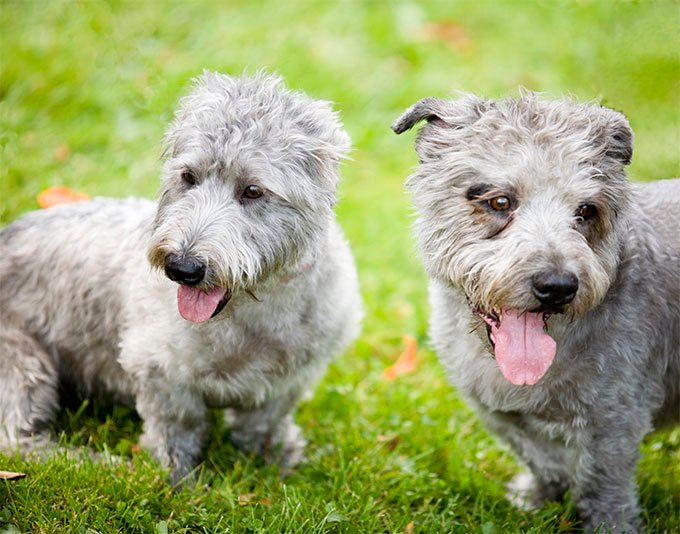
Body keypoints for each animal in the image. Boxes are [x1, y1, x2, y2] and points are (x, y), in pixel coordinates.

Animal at [0, 72, 364, 486]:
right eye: (188, 176)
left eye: (253, 190)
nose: (182, 268)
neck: (253, 310)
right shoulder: (158, 370)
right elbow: (178, 425)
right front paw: (177, 479)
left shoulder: (293, 376)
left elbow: (264, 420)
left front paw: (275, 459)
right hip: (23, 361)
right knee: (17, 439)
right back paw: (92, 462)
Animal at [394, 94, 680, 532]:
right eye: (499, 201)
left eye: (586, 210)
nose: (558, 286)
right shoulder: (503, 415)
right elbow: (544, 461)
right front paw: (536, 500)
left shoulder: (615, 422)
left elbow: (602, 484)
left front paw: (610, 524)